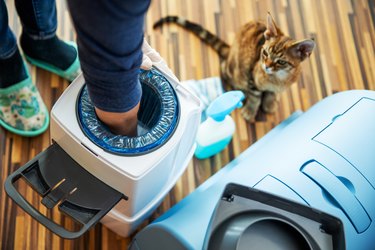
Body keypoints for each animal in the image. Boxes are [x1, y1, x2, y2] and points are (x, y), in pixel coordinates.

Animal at [154, 13, 316, 121]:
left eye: (281, 62)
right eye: (264, 53)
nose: (266, 66)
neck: (278, 78)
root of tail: (231, 49)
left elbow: (272, 94)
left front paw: (269, 103)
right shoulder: (251, 76)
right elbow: (255, 97)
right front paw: (250, 110)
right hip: (233, 70)